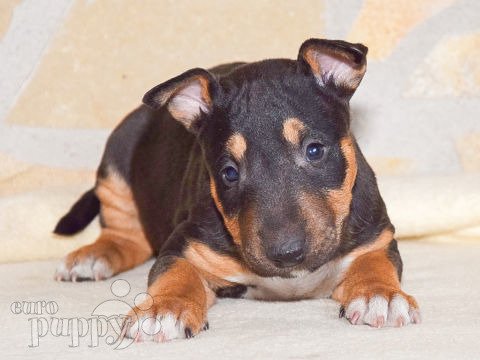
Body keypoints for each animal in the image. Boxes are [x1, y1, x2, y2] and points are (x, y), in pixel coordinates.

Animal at [53, 38, 420, 342]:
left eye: (314, 150)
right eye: (228, 173)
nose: (286, 254)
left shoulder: (377, 238)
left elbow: (375, 264)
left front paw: (380, 296)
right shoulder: (184, 245)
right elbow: (175, 273)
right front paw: (162, 310)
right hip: (115, 162)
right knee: (124, 232)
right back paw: (92, 257)